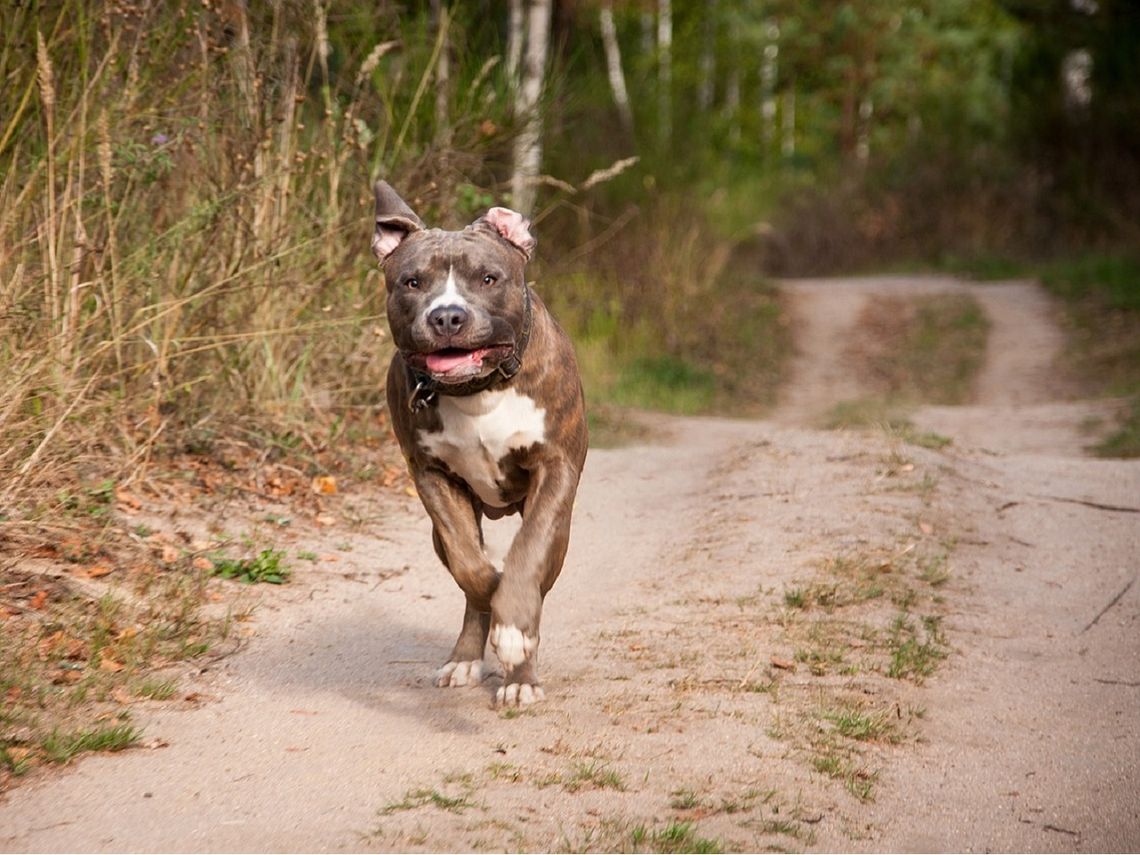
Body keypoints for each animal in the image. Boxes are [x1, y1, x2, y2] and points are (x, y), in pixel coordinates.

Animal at [371, 182, 588, 711]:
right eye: (411, 282)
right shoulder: (431, 476)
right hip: (440, 529)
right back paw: (467, 657)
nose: (448, 315)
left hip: (562, 531)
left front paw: (514, 631)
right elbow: (471, 567)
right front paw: (493, 592)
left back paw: (520, 674)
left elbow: (527, 555)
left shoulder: (555, 469)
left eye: (488, 278)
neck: (478, 391)